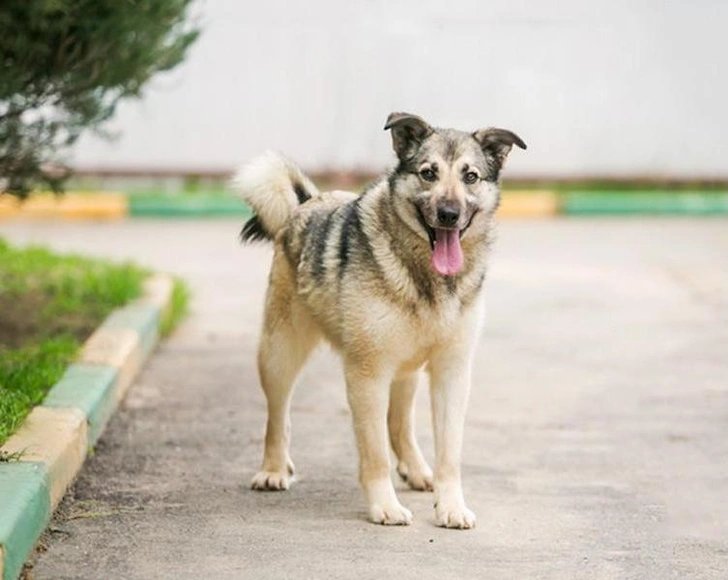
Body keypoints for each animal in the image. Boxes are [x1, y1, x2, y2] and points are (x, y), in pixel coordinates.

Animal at [236, 113, 528, 532]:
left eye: (470, 176)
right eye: (428, 173)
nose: (449, 214)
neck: (426, 276)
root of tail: (306, 204)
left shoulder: (452, 373)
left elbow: (449, 452)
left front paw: (450, 506)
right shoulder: (367, 374)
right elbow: (373, 453)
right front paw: (384, 507)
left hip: (405, 371)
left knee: (399, 422)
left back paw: (417, 471)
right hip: (279, 354)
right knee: (278, 416)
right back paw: (274, 470)